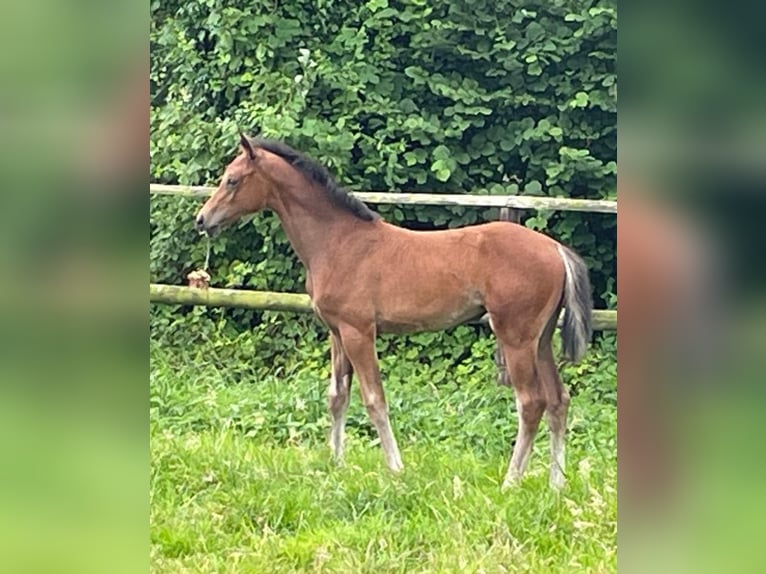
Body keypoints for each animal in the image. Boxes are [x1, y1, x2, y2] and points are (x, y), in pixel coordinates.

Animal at [195, 135, 592, 490]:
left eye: (232, 179)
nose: (202, 220)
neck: (339, 242)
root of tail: (556, 249)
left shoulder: (359, 331)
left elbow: (374, 400)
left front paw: (395, 469)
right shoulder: (336, 332)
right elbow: (337, 397)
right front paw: (335, 464)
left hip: (515, 337)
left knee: (531, 402)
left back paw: (511, 481)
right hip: (541, 339)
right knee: (558, 400)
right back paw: (557, 483)